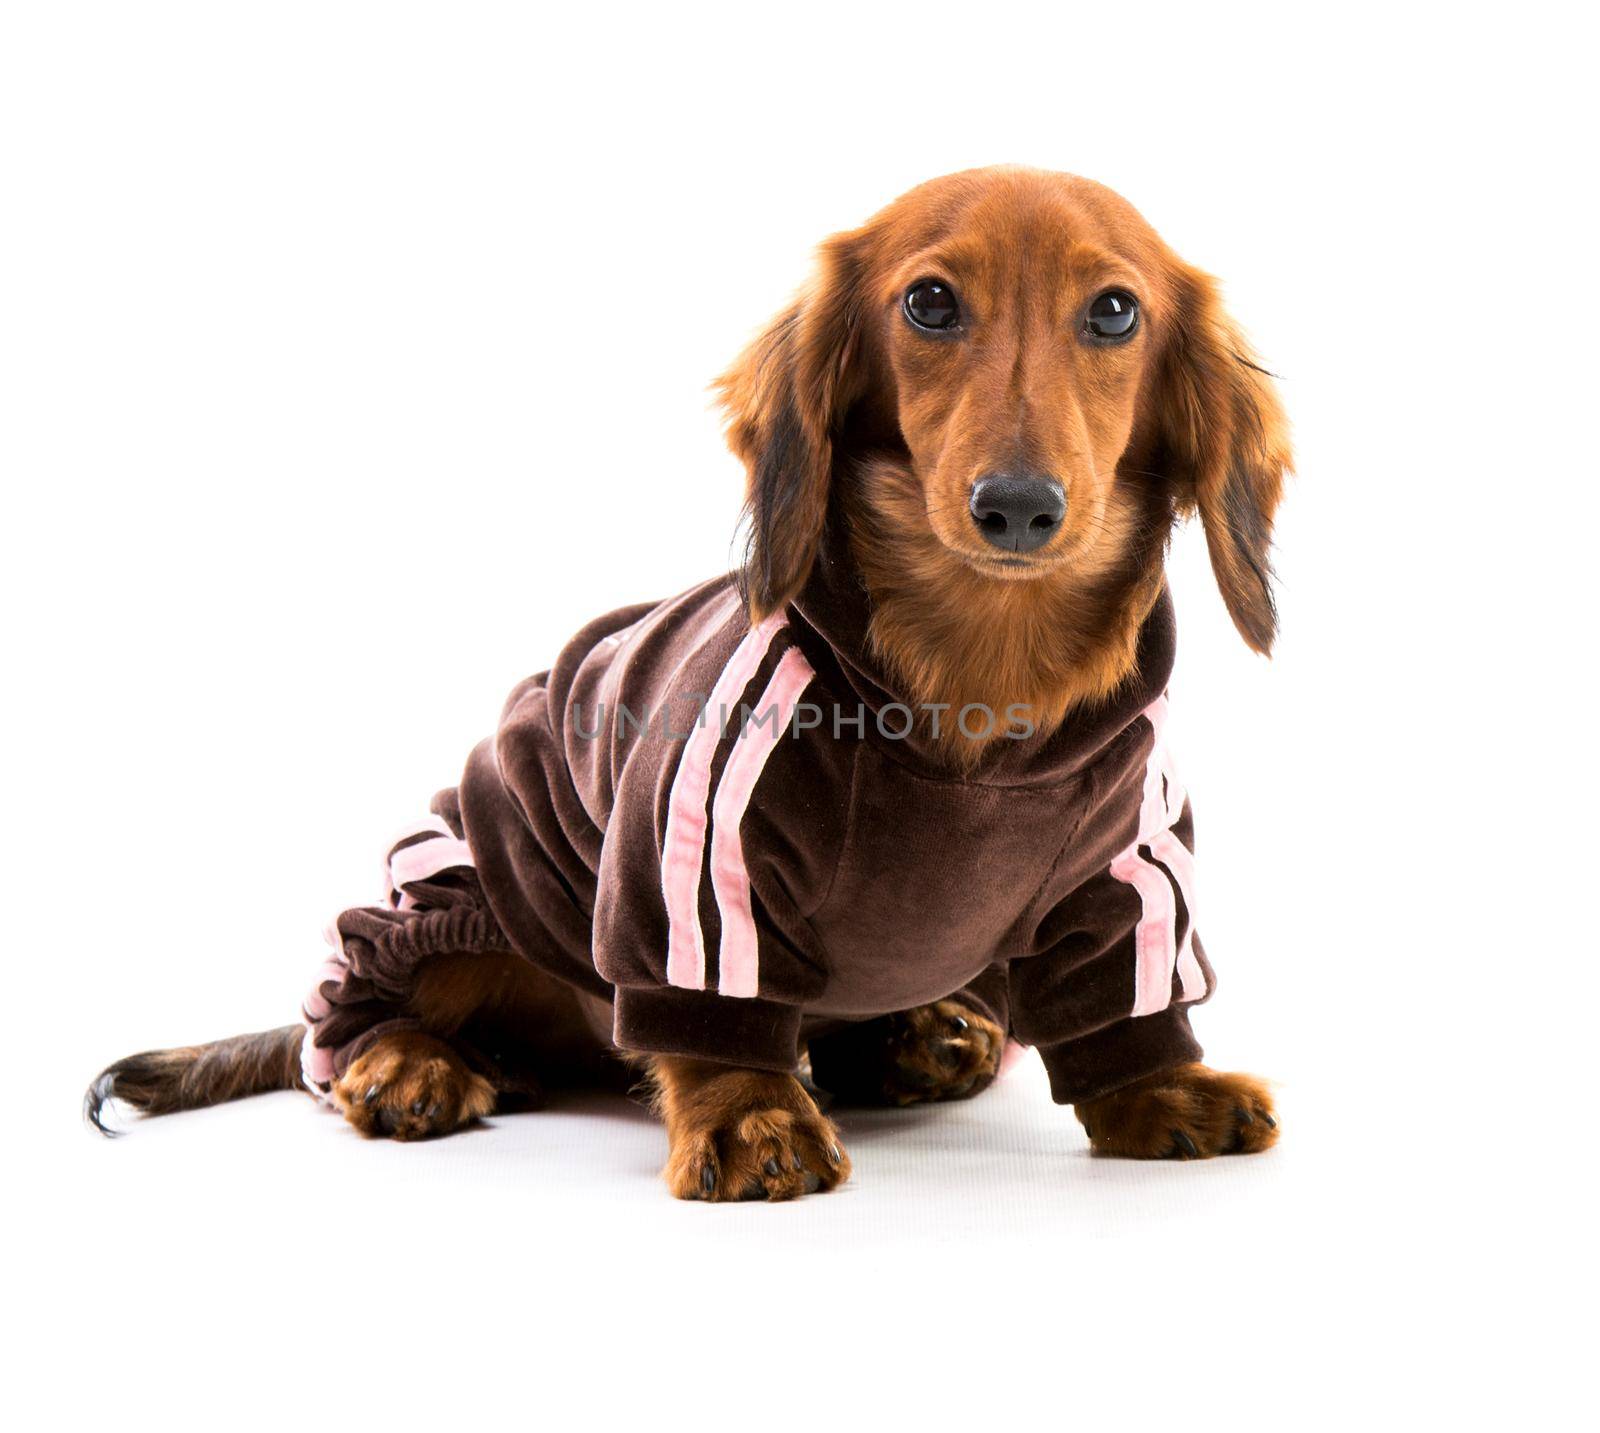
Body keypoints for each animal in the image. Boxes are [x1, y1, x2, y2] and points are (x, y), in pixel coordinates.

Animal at [84, 167, 1286, 1196]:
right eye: (931, 303)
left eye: (1115, 312)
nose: (1019, 506)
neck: (987, 673)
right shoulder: (698, 860)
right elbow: (712, 1018)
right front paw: (750, 1118)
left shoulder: (1126, 863)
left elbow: (1122, 1000)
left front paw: (1162, 1087)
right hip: (457, 896)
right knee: (340, 1025)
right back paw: (405, 1063)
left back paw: (921, 1034)